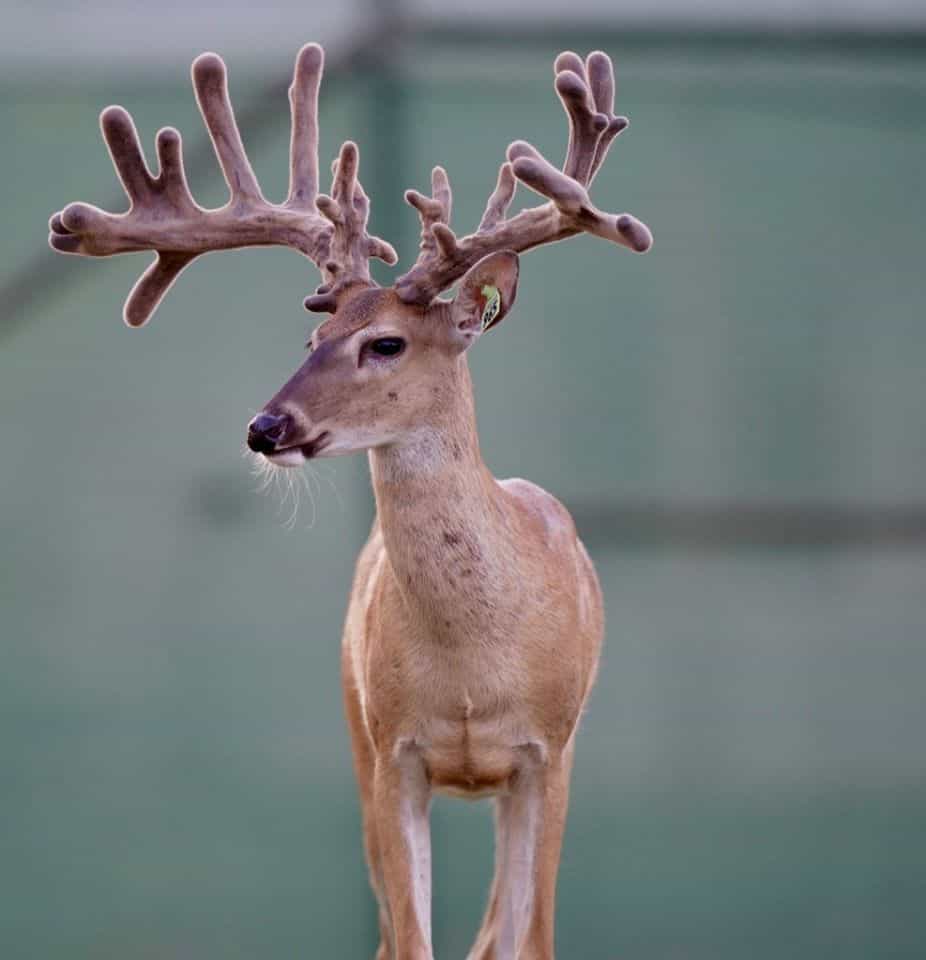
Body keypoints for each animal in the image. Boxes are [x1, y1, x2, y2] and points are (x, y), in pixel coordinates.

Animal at [47, 41, 652, 959]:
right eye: (312, 337)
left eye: (386, 343)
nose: (266, 427)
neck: (475, 669)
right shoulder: (390, 747)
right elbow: (412, 941)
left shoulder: (549, 749)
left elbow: (529, 937)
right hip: (355, 734)